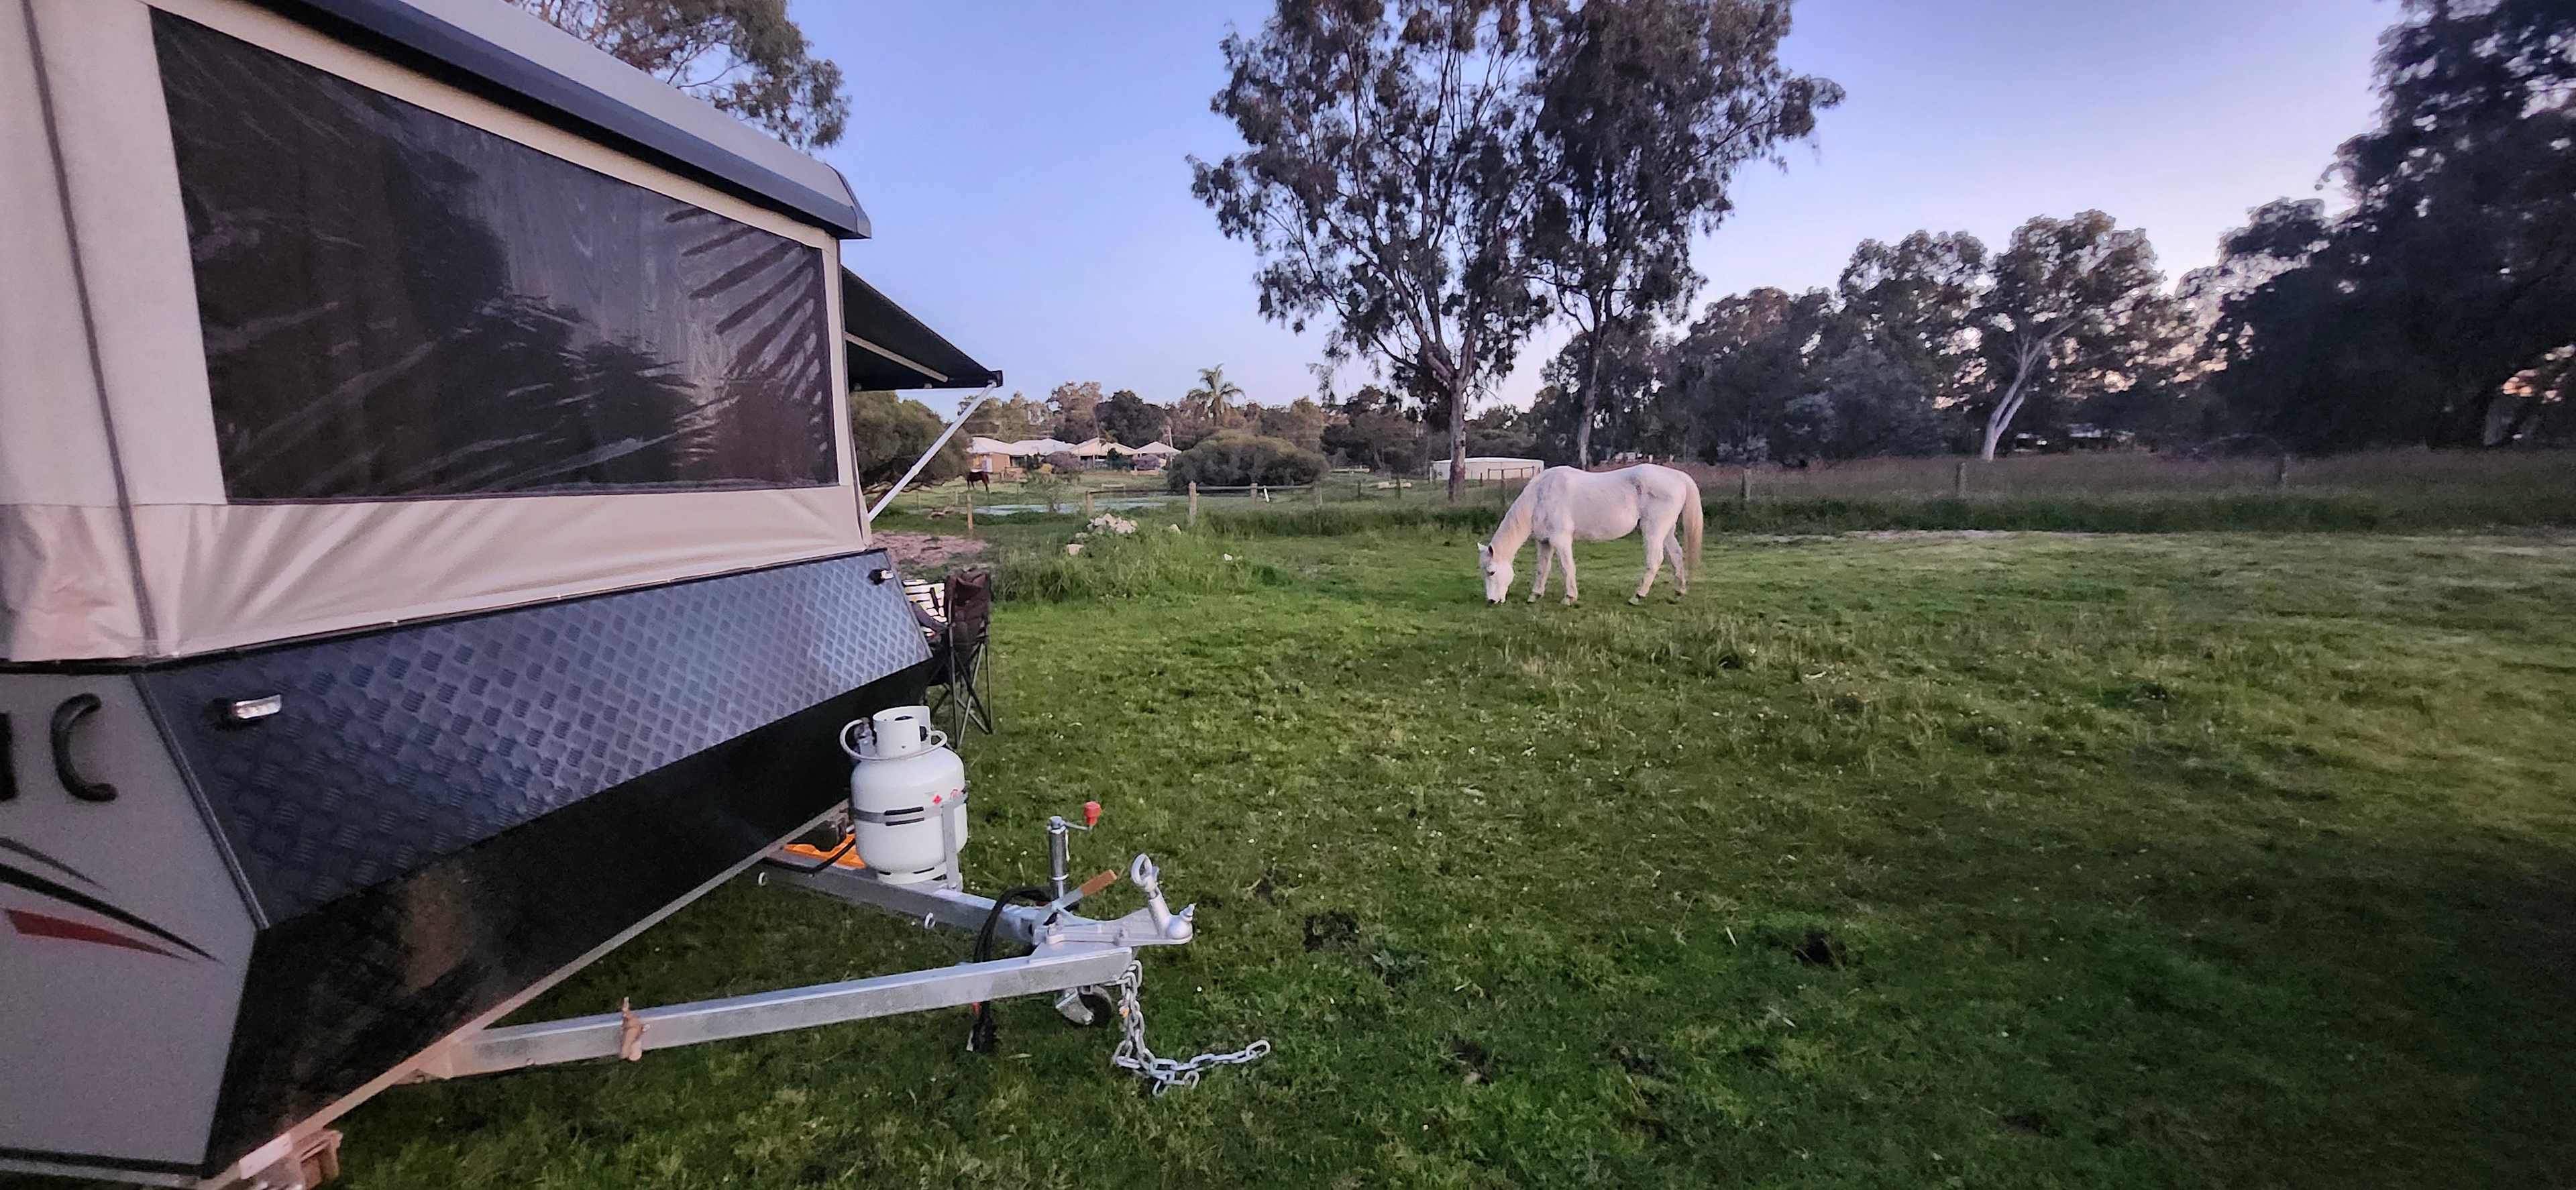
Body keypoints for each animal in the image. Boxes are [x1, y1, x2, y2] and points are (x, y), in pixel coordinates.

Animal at [1477, 465, 1704, 606]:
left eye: (1492, 572)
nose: (1491, 601)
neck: (1541, 496)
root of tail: (1679, 477)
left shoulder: (1561, 540)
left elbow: (1567, 567)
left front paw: (1569, 598)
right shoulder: (1544, 542)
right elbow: (1542, 569)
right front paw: (1535, 595)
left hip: (1653, 530)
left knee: (1655, 560)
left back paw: (1637, 596)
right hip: (1667, 531)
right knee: (1676, 556)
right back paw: (1678, 593)